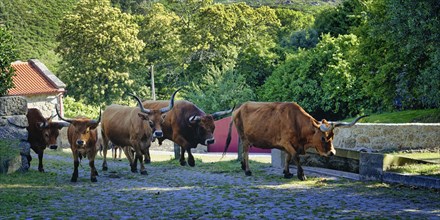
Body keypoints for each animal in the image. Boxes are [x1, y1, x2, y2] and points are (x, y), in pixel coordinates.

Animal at [225, 101, 366, 180]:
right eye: (323, 137)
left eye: (332, 137)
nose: (332, 153)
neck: (296, 122)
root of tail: (240, 107)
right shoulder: (286, 143)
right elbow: (296, 157)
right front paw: (301, 175)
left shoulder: (291, 145)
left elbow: (288, 158)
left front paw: (287, 173)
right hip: (244, 138)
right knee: (246, 153)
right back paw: (247, 170)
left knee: (244, 152)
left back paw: (243, 166)